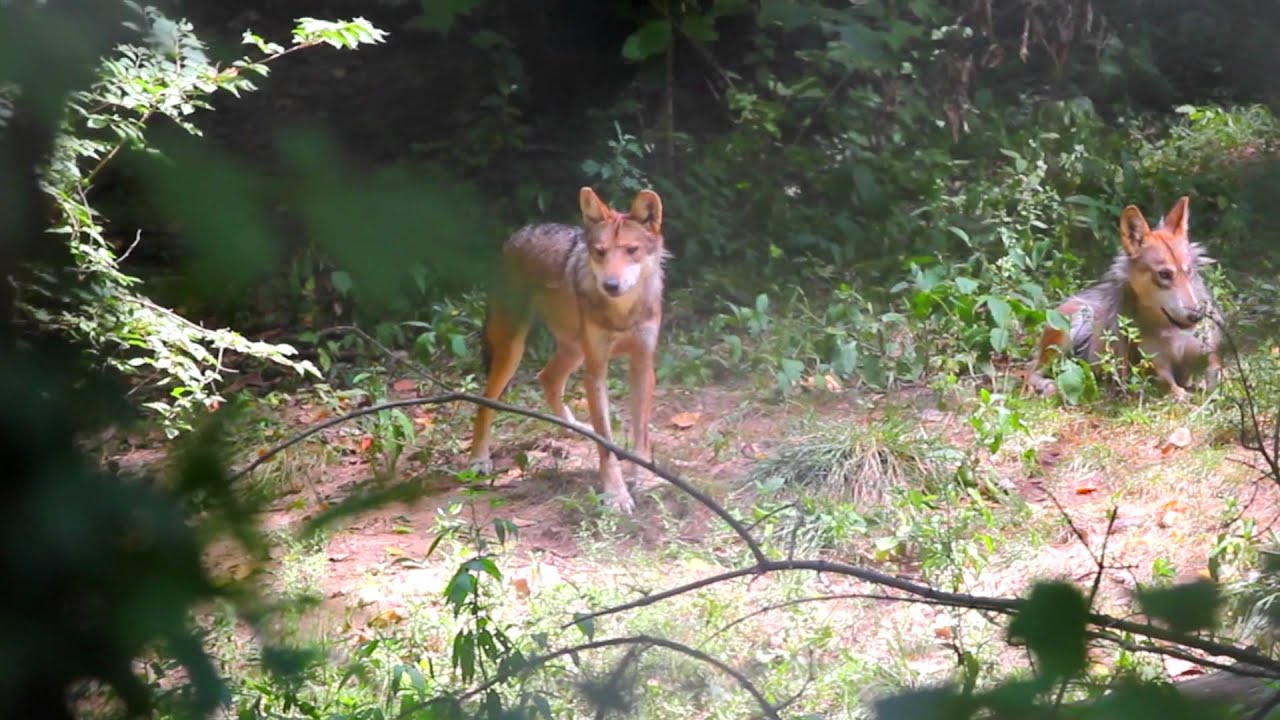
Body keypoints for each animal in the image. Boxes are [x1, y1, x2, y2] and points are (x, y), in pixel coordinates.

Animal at [467, 187, 668, 513]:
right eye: (599, 252)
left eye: (631, 250)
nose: (610, 285)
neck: (623, 313)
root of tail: (521, 232)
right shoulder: (596, 370)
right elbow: (606, 444)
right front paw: (616, 494)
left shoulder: (642, 365)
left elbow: (641, 433)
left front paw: (646, 479)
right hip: (514, 350)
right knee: (486, 403)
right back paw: (478, 459)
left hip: (573, 351)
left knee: (547, 378)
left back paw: (574, 428)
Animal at [1026, 196, 1223, 400]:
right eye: (1164, 274)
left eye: (1188, 271)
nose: (1196, 316)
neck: (1171, 332)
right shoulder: (1152, 366)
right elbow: (1171, 386)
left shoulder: (1208, 356)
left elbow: (1216, 377)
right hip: (1075, 322)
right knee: (1030, 371)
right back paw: (1046, 386)